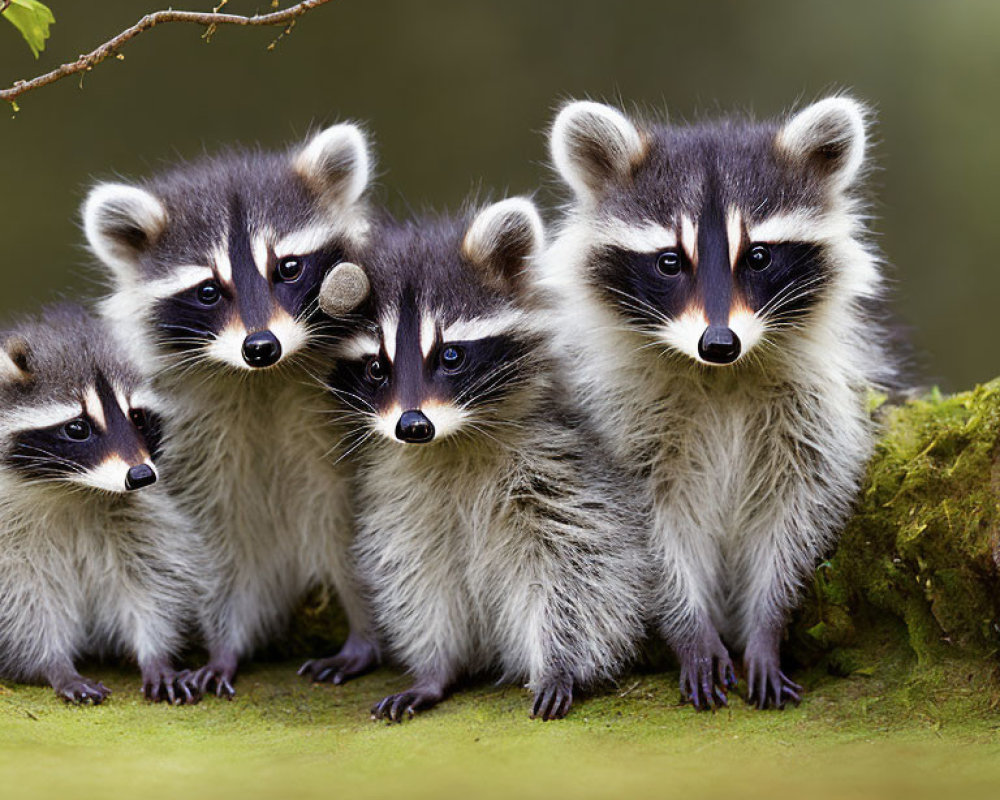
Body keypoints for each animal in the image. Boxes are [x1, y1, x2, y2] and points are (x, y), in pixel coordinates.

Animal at [0, 306, 199, 708]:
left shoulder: (142, 517)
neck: (74, 489)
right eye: (77, 428)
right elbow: (23, 600)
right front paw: (55, 665)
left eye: (137, 416)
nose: (140, 475)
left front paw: (156, 654)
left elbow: (150, 579)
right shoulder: (8, 535)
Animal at [84, 123, 380, 692]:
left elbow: (362, 533)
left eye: (288, 267)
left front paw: (366, 629)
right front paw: (224, 643)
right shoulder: (195, 445)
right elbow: (219, 547)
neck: (262, 380)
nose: (261, 346)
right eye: (207, 291)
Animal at [324, 198, 644, 720]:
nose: (412, 426)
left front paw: (560, 664)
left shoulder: (561, 458)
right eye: (375, 368)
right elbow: (419, 575)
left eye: (451, 356)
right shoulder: (403, 494)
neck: (452, 441)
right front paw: (435, 670)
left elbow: (579, 566)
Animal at [544, 98, 896, 708]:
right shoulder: (622, 418)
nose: (719, 343)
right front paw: (688, 628)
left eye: (757, 257)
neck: (720, 376)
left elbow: (798, 514)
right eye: (668, 262)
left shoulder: (816, 412)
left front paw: (768, 623)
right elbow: (646, 530)